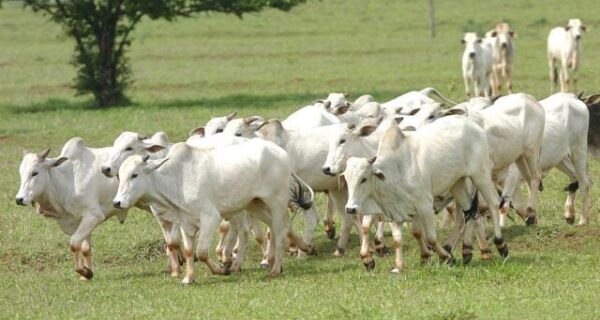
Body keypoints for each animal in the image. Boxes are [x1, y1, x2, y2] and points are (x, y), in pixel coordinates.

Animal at [15, 140, 129, 280]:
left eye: (34, 173)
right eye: (21, 173)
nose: (19, 199)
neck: (67, 181)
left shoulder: (94, 216)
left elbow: (74, 243)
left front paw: (84, 271)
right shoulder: (81, 221)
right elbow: (85, 248)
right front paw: (87, 274)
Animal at [114, 139, 316, 284]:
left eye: (134, 175)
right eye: (120, 176)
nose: (117, 202)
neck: (178, 177)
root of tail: (281, 153)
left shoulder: (210, 218)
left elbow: (202, 252)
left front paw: (221, 269)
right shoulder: (185, 222)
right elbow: (189, 251)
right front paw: (188, 278)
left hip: (276, 202)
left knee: (280, 232)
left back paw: (274, 269)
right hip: (255, 204)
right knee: (277, 227)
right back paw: (303, 249)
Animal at [342, 117, 506, 268]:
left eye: (363, 179)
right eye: (346, 179)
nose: (350, 208)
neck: (394, 170)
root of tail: (472, 124)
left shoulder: (425, 205)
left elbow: (431, 238)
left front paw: (446, 257)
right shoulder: (397, 210)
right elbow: (400, 238)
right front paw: (400, 266)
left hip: (480, 175)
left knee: (492, 204)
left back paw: (499, 245)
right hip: (457, 183)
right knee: (469, 212)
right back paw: (467, 252)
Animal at [502, 94, 592, 226]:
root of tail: (572, 97)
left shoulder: (512, 174)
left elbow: (510, 206)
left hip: (578, 151)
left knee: (584, 182)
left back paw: (583, 219)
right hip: (560, 158)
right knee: (574, 178)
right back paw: (569, 213)